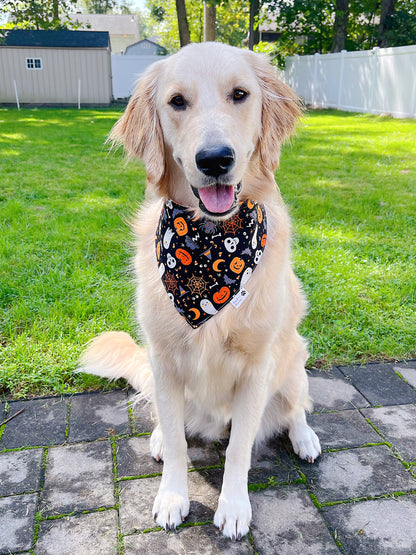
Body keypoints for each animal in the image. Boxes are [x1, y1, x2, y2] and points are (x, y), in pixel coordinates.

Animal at [79, 43, 320, 544]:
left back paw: (305, 437)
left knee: (296, 408)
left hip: (292, 358)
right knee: (165, 420)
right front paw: (173, 496)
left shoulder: (257, 366)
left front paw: (233, 508)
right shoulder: (164, 359)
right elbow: (175, 440)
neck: (210, 245)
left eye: (240, 94)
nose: (214, 159)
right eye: (177, 102)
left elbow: (240, 449)